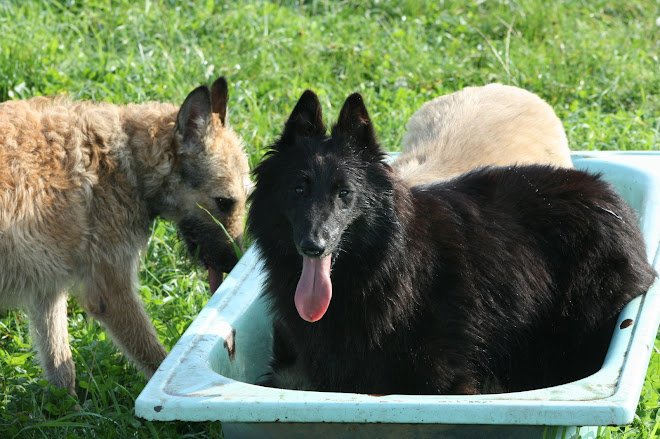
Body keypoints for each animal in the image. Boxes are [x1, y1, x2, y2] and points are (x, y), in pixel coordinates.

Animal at [0, 76, 250, 396]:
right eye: (224, 202)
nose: (233, 264)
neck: (127, 158)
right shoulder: (112, 293)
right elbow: (156, 360)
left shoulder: (47, 291)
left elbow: (60, 367)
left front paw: (69, 407)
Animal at [246, 89, 656, 396]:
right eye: (299, 189)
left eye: (344, 193)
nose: (313, 245)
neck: (385, 264)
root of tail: (605, 190)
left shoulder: (443, 378)